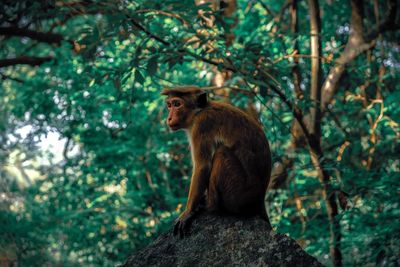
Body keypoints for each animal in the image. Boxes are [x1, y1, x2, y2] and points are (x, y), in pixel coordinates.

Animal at [162, 85, 272, 237]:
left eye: (177, 104)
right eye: (169, 105)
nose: (169, 118)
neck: (199, 112)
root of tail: (260, 198)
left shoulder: (201, 125)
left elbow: (202, 166)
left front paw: (188, 211)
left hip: (238, 193)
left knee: (221, 153)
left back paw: (210, 205)